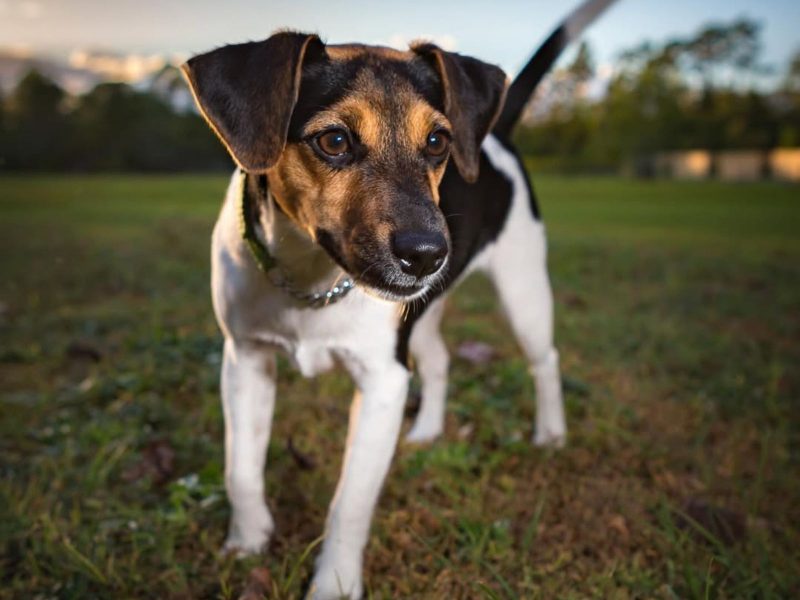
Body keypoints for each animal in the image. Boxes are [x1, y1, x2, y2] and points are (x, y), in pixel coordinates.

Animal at [181, 0, 616, 596]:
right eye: (334, 141)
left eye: (437, 142)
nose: (428, 254)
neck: (313, 282)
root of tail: (495, 133)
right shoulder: (245, 359)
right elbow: (239, 468)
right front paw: (247, 542)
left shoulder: (383, 381)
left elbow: (349, 504)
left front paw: (334, 583)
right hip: (424, 316)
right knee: (439, 360)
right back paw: (428, 431)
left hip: (523, 288)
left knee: (544, 360)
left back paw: (550, 433)